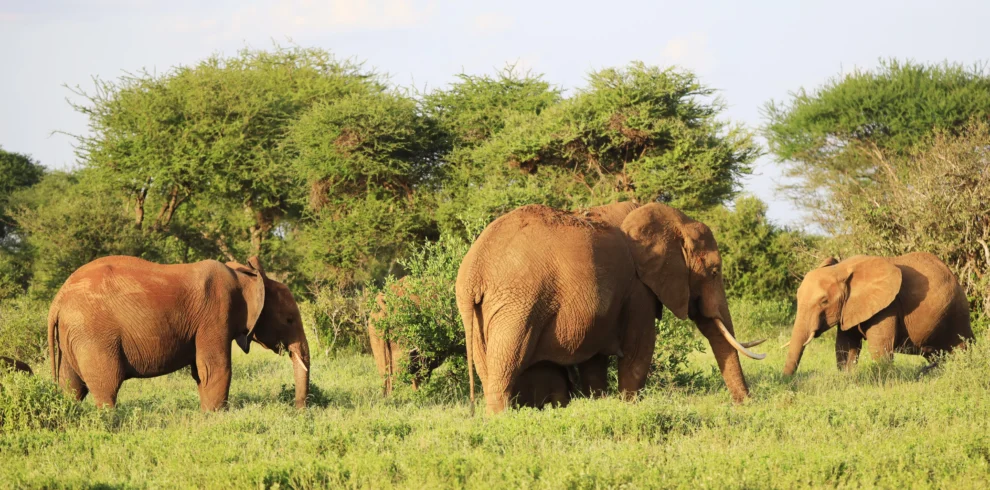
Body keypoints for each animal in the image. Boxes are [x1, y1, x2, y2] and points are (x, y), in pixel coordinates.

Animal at [47, 255, 310, 410]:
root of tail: (57, 302)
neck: (246, 276)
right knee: (106, 387)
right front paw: (215, 418)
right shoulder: (215, 313)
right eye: (289, 320)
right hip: (93, 335)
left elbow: (201, 373)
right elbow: (215, 369)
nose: (298, 410)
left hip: (74, 336)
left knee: (72, 388)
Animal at [456, 202, 766, 414]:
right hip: (518, 302)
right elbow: (639, 351)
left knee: (488, 369)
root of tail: (474, 270)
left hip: (480, 312)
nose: (744, 405)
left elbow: (594, 361)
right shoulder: (638, 289)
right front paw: (630, 408)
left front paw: (601, 404)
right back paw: (502, 419)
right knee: (506, 365)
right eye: (714, 271)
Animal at [783, 253, 972, 375]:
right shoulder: (849, 308)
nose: (787, 381)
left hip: (958, 312)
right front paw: (847, 379)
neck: (842, 269)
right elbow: (845, 347)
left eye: (824, 301)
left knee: (961, 349)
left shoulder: (887, 307)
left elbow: (879, 348)